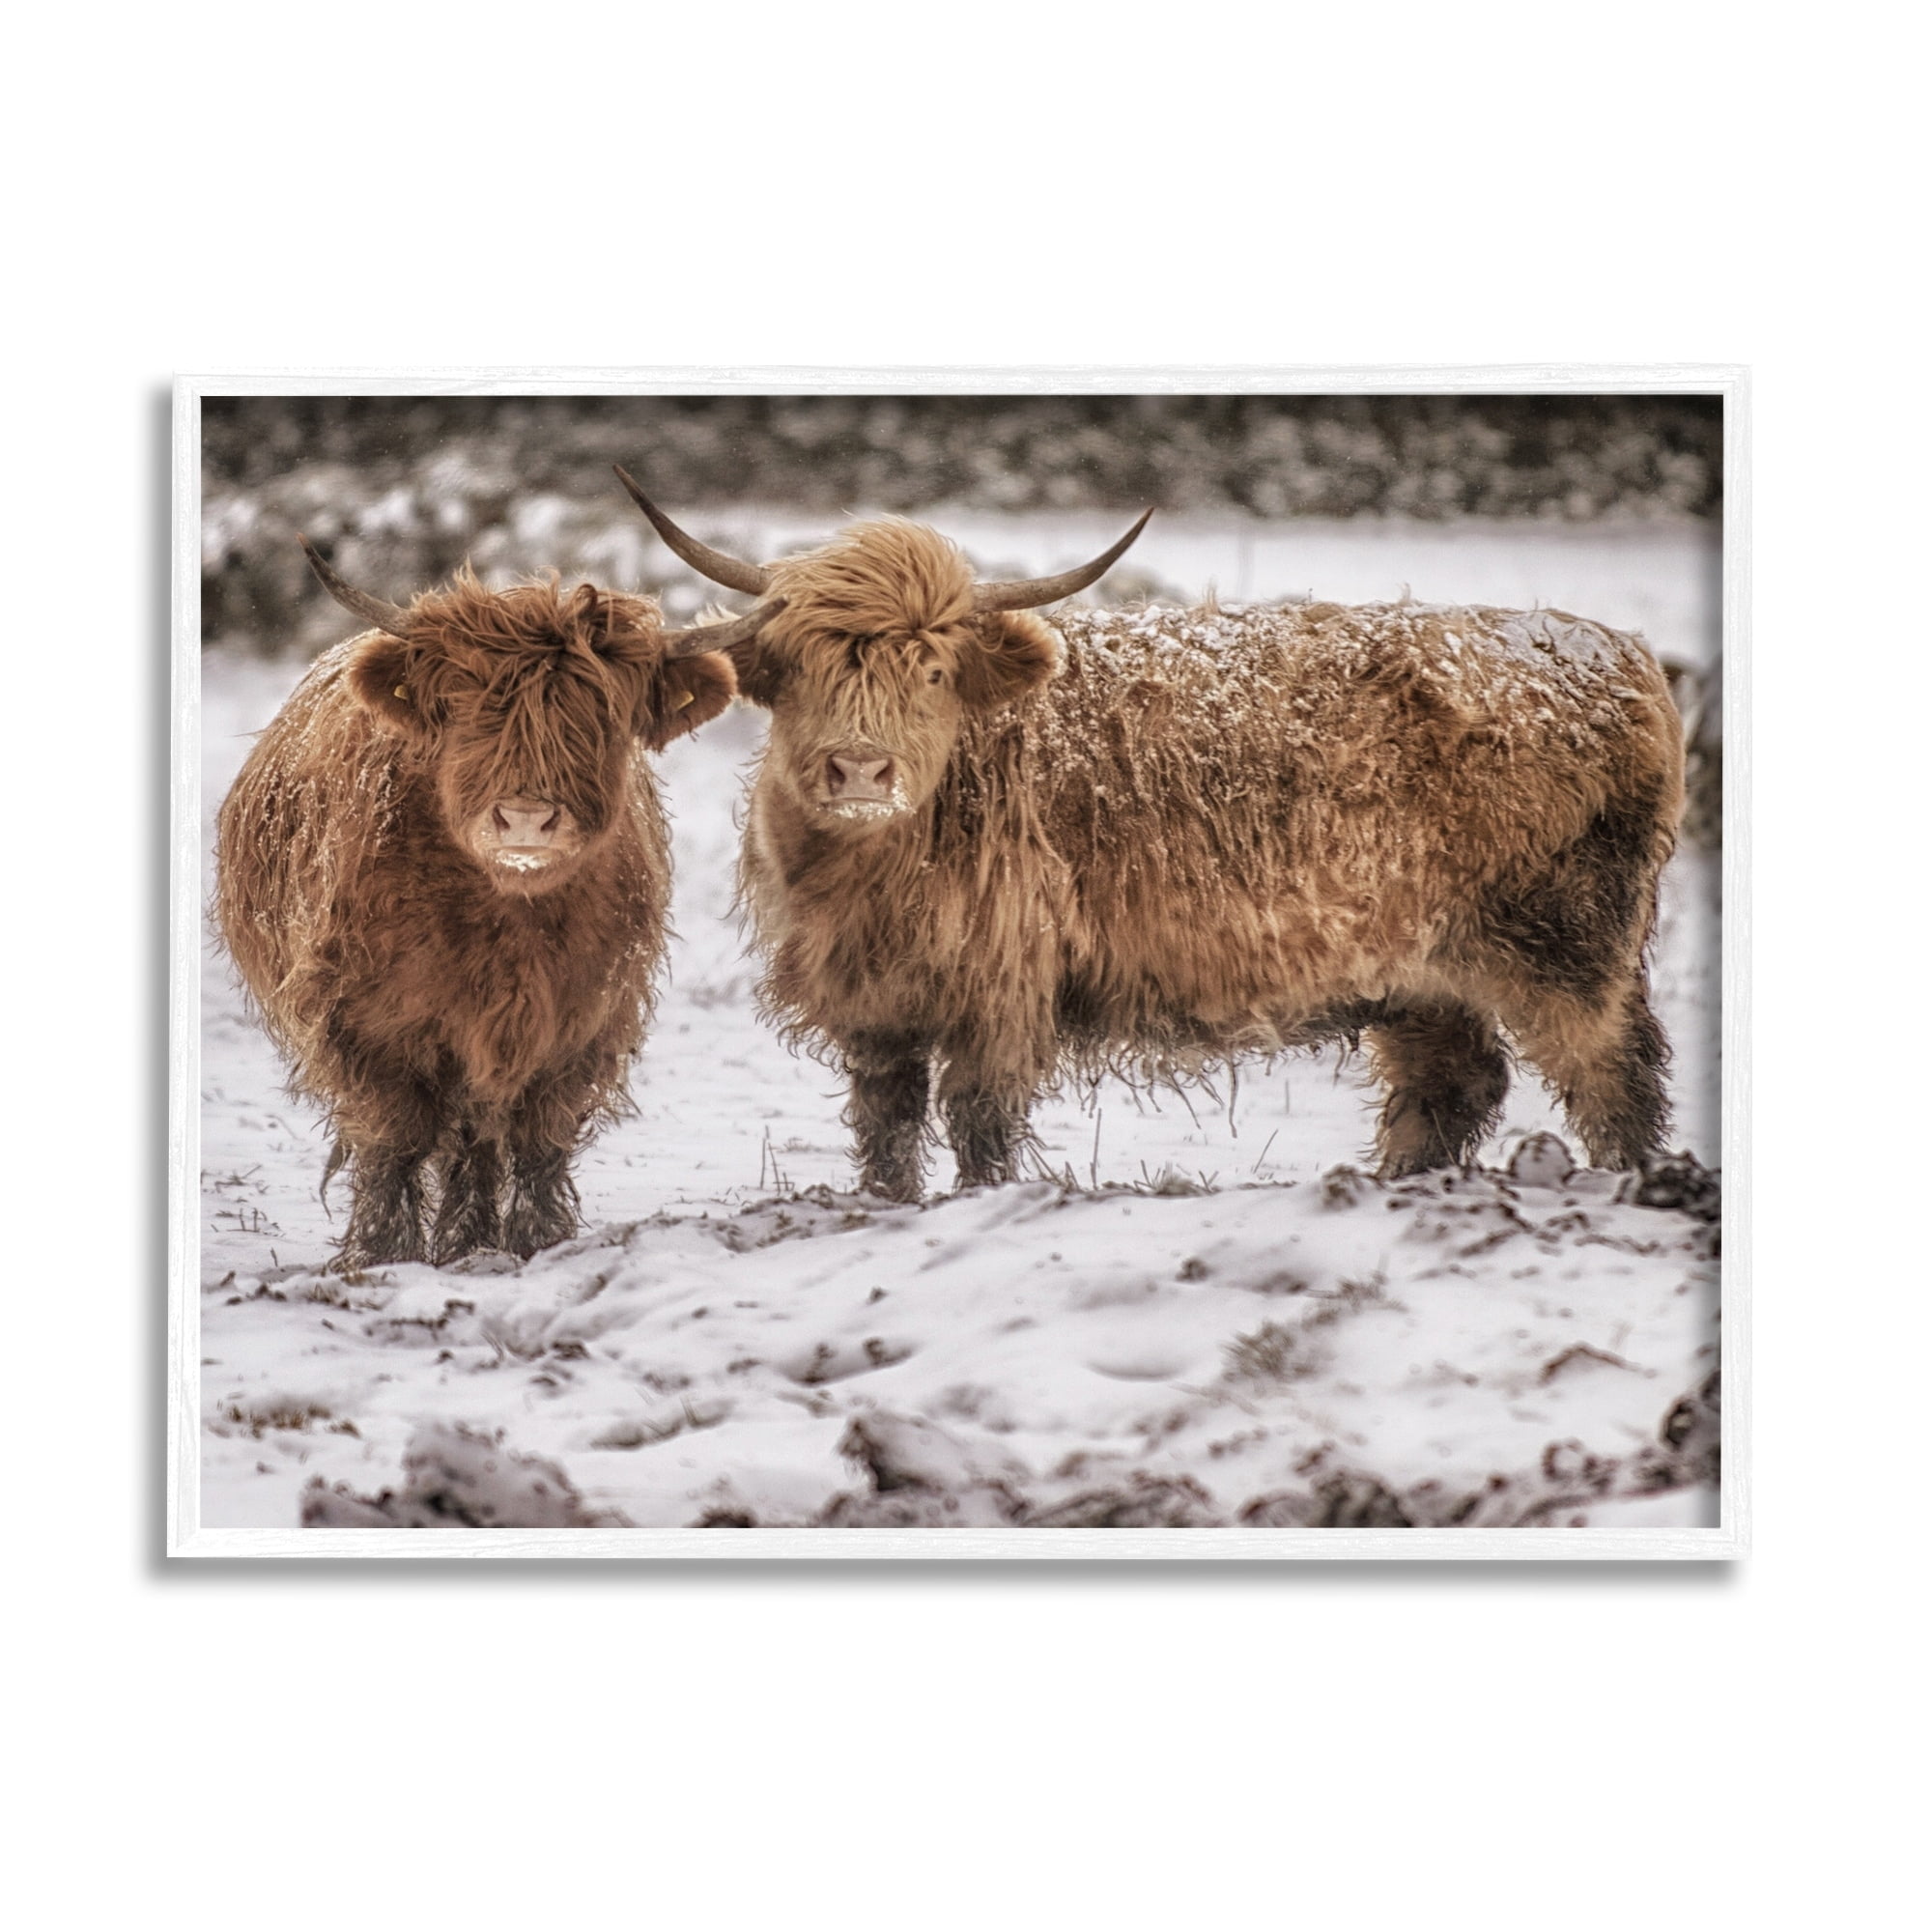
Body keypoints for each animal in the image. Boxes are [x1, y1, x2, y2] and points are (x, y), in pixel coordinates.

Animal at [215, 541, 769, 1266]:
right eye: (468, 712)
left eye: (601, 714)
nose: (527, 819)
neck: (505, 918)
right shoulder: (363, 1019)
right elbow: (394, 1136)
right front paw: (383, 1251)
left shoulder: (584, 1016)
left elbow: (539, 1138)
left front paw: (537, 1241)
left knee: (476, 1135)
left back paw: (470, 1239)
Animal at [615, 468, 1684, 1202]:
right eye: (799, 666)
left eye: (933, 672)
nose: (860, 772)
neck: (871, 878)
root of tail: (1618, 655)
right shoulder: (876, 1003)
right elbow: (885, 1126)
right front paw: (887, 1203)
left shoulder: (1000, 987)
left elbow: (979, 1122)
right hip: (1419, 969)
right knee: (1452, 1082)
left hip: (1569, 941)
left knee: (1612, 1075)